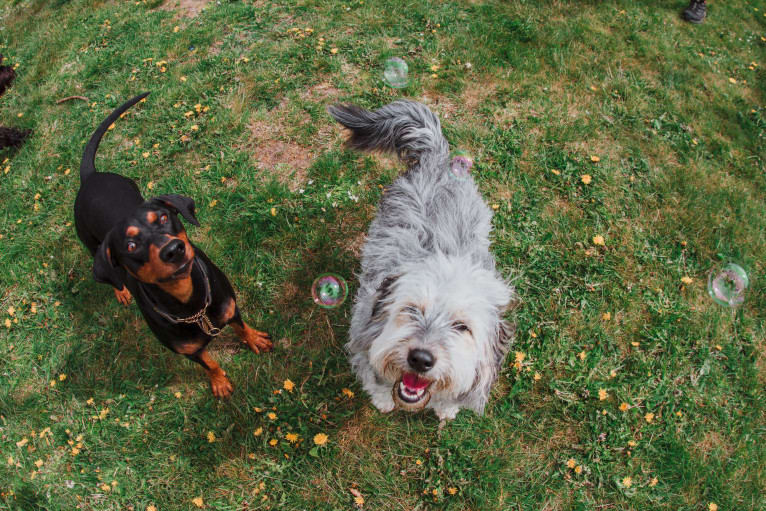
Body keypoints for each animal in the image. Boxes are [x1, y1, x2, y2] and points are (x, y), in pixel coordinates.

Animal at [328, 99, 516, 420]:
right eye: (412, 309)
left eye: (462, 327)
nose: (421, 358)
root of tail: (436, 159)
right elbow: (374, 376)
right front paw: (383, 399)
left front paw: (447, 407)